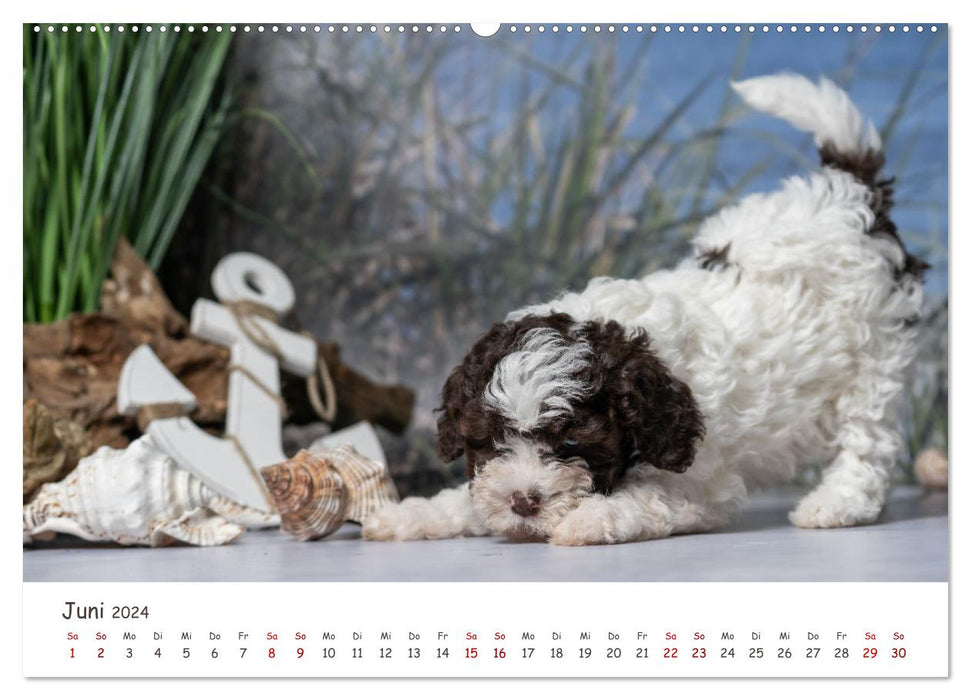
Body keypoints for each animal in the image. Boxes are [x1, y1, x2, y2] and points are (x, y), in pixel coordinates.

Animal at [362, 75, 928, 548]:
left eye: (571, 440)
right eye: (487, 441)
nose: (523, 501)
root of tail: (851, 198)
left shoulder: (699, 485)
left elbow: (643, 500)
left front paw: (587, 519)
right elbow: (472, 496)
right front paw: (411, 514)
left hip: (875, 360)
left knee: (868, 441)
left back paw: (836, 504)